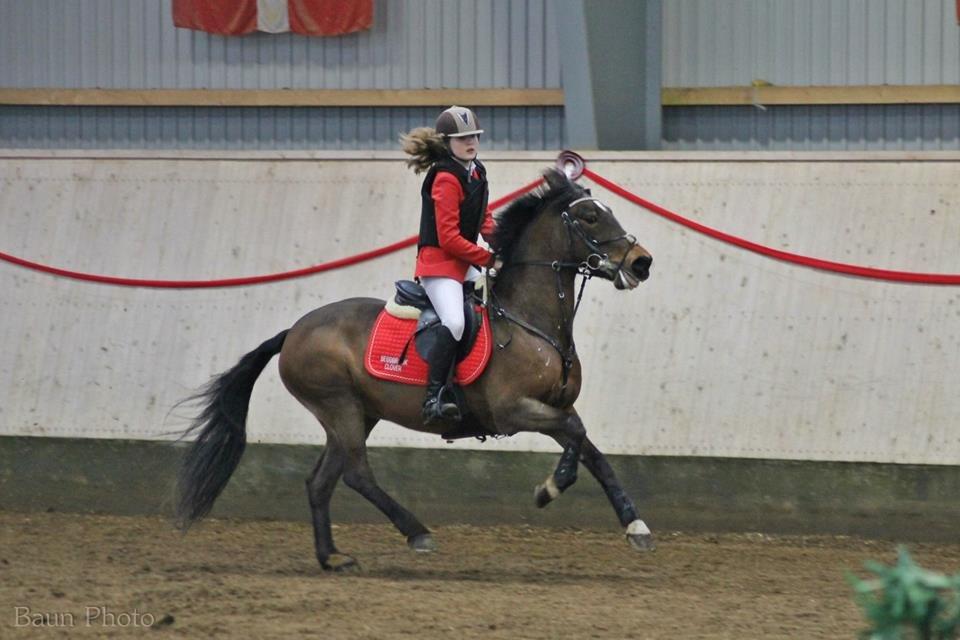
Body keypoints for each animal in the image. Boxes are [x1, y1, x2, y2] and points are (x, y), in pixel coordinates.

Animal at [175, 168, 655, 571]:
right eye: (590, 217)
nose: (641, 262)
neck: (530, 321)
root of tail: (294, 330)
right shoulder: (513, 410)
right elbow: (576, 435)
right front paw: (549, 489)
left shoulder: (554, 407)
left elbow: (590, 449)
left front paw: (635, 526)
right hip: (339, 406)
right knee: (356, 474)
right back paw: (417, 532)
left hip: (357, 413)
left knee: (321, 481)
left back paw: (332, 557)